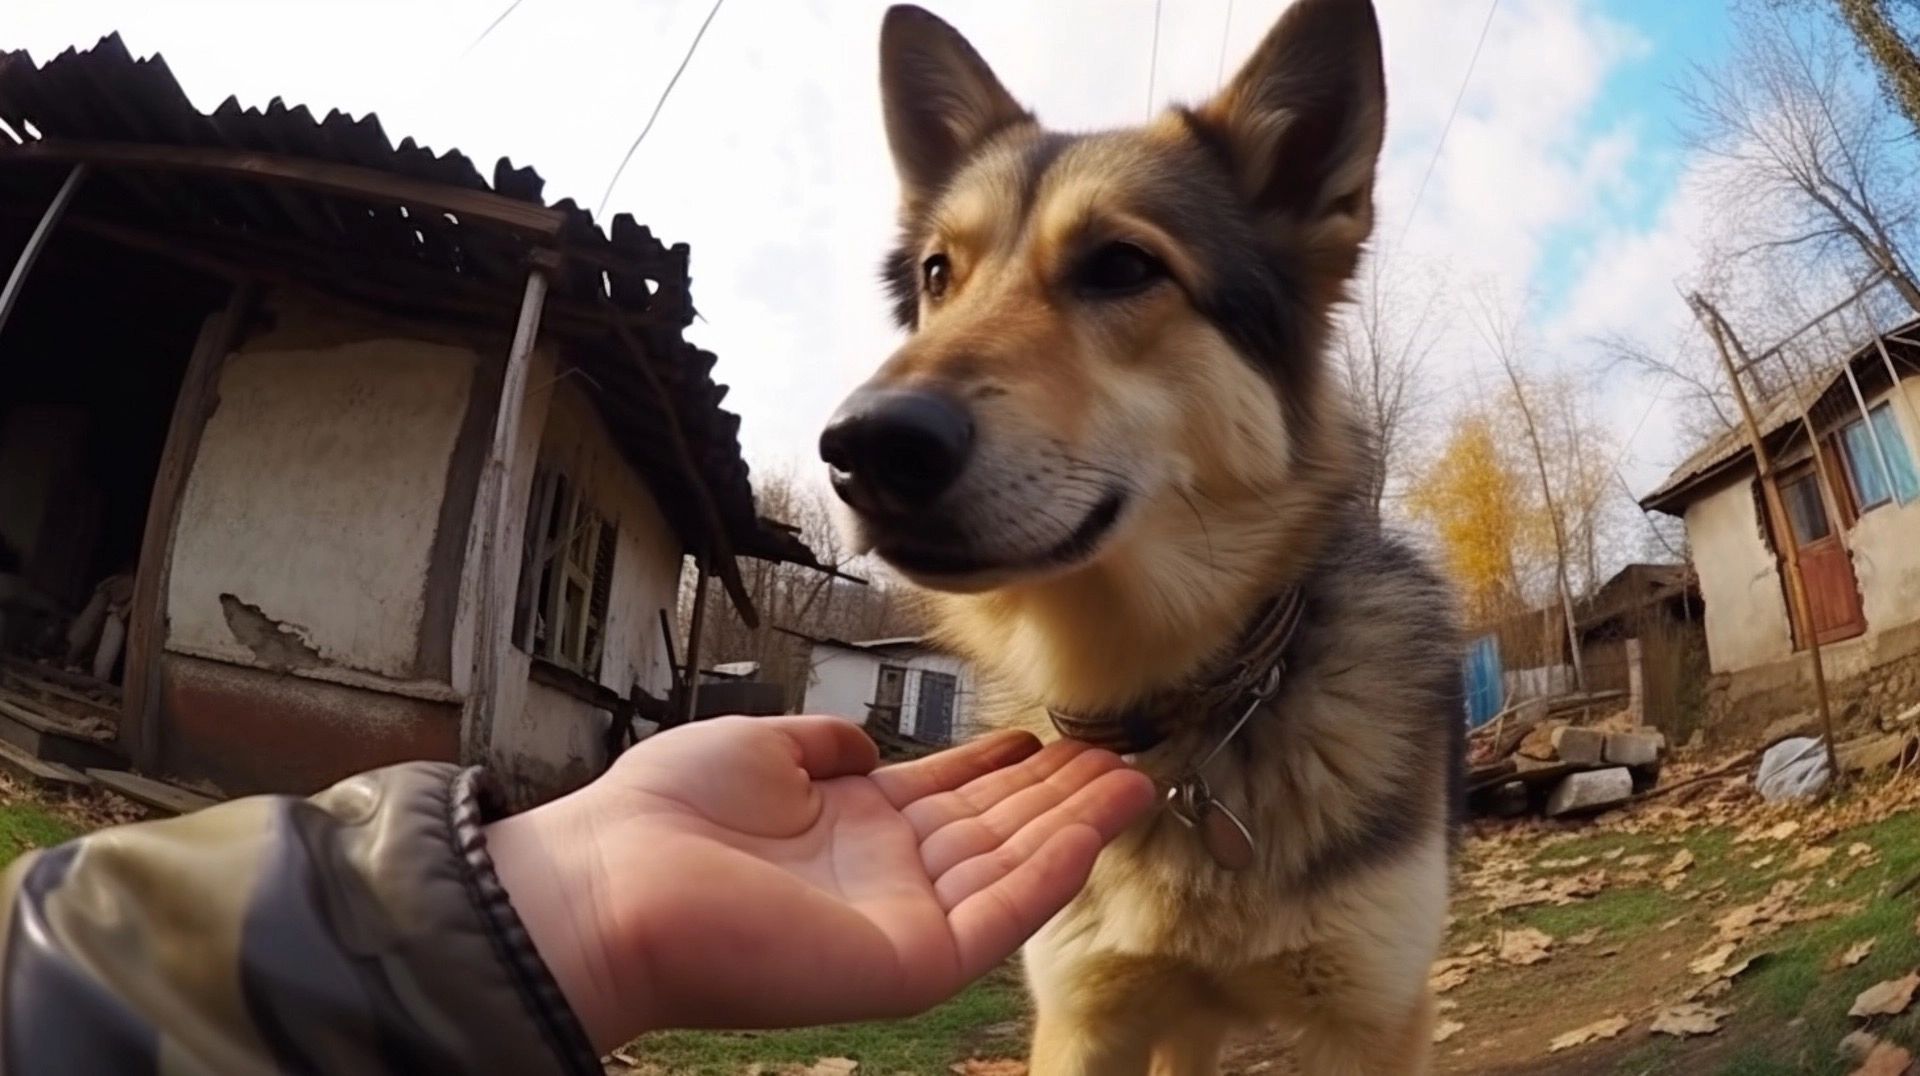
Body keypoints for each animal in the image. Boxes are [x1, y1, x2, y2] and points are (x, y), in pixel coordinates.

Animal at [817, 2, 1459, 1068]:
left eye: (1122, 266)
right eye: (938, 275)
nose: (863, 448)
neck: (1176, 717)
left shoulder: (1371, 1022)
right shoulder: (1086, 1019)